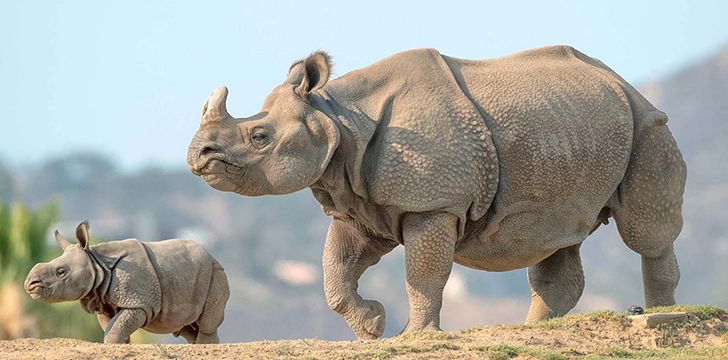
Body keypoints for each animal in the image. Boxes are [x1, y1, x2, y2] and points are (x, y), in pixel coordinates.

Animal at [24, 221, 228, 344]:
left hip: (215, 271)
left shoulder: (139, 303)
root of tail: (212, 255)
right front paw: (122, 345)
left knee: (207, 321)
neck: (98, 262)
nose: (29, 284)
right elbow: (112, 327)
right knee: (185, 324)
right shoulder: (102, 300)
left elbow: (115, 329)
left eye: (61, 272)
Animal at [185, 46, 684, 338]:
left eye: (259, 137)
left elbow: (423, 276)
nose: (198, 155)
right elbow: (335, 273)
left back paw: (662, 316)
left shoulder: (433, 204)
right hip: (571, 133)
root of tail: (622, 81)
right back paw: (530, 333)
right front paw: (373, 326)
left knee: (645, 233)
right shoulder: (358, 203)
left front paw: (413, 336)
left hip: (646, 124)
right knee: (557, 237)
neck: (338, 117)